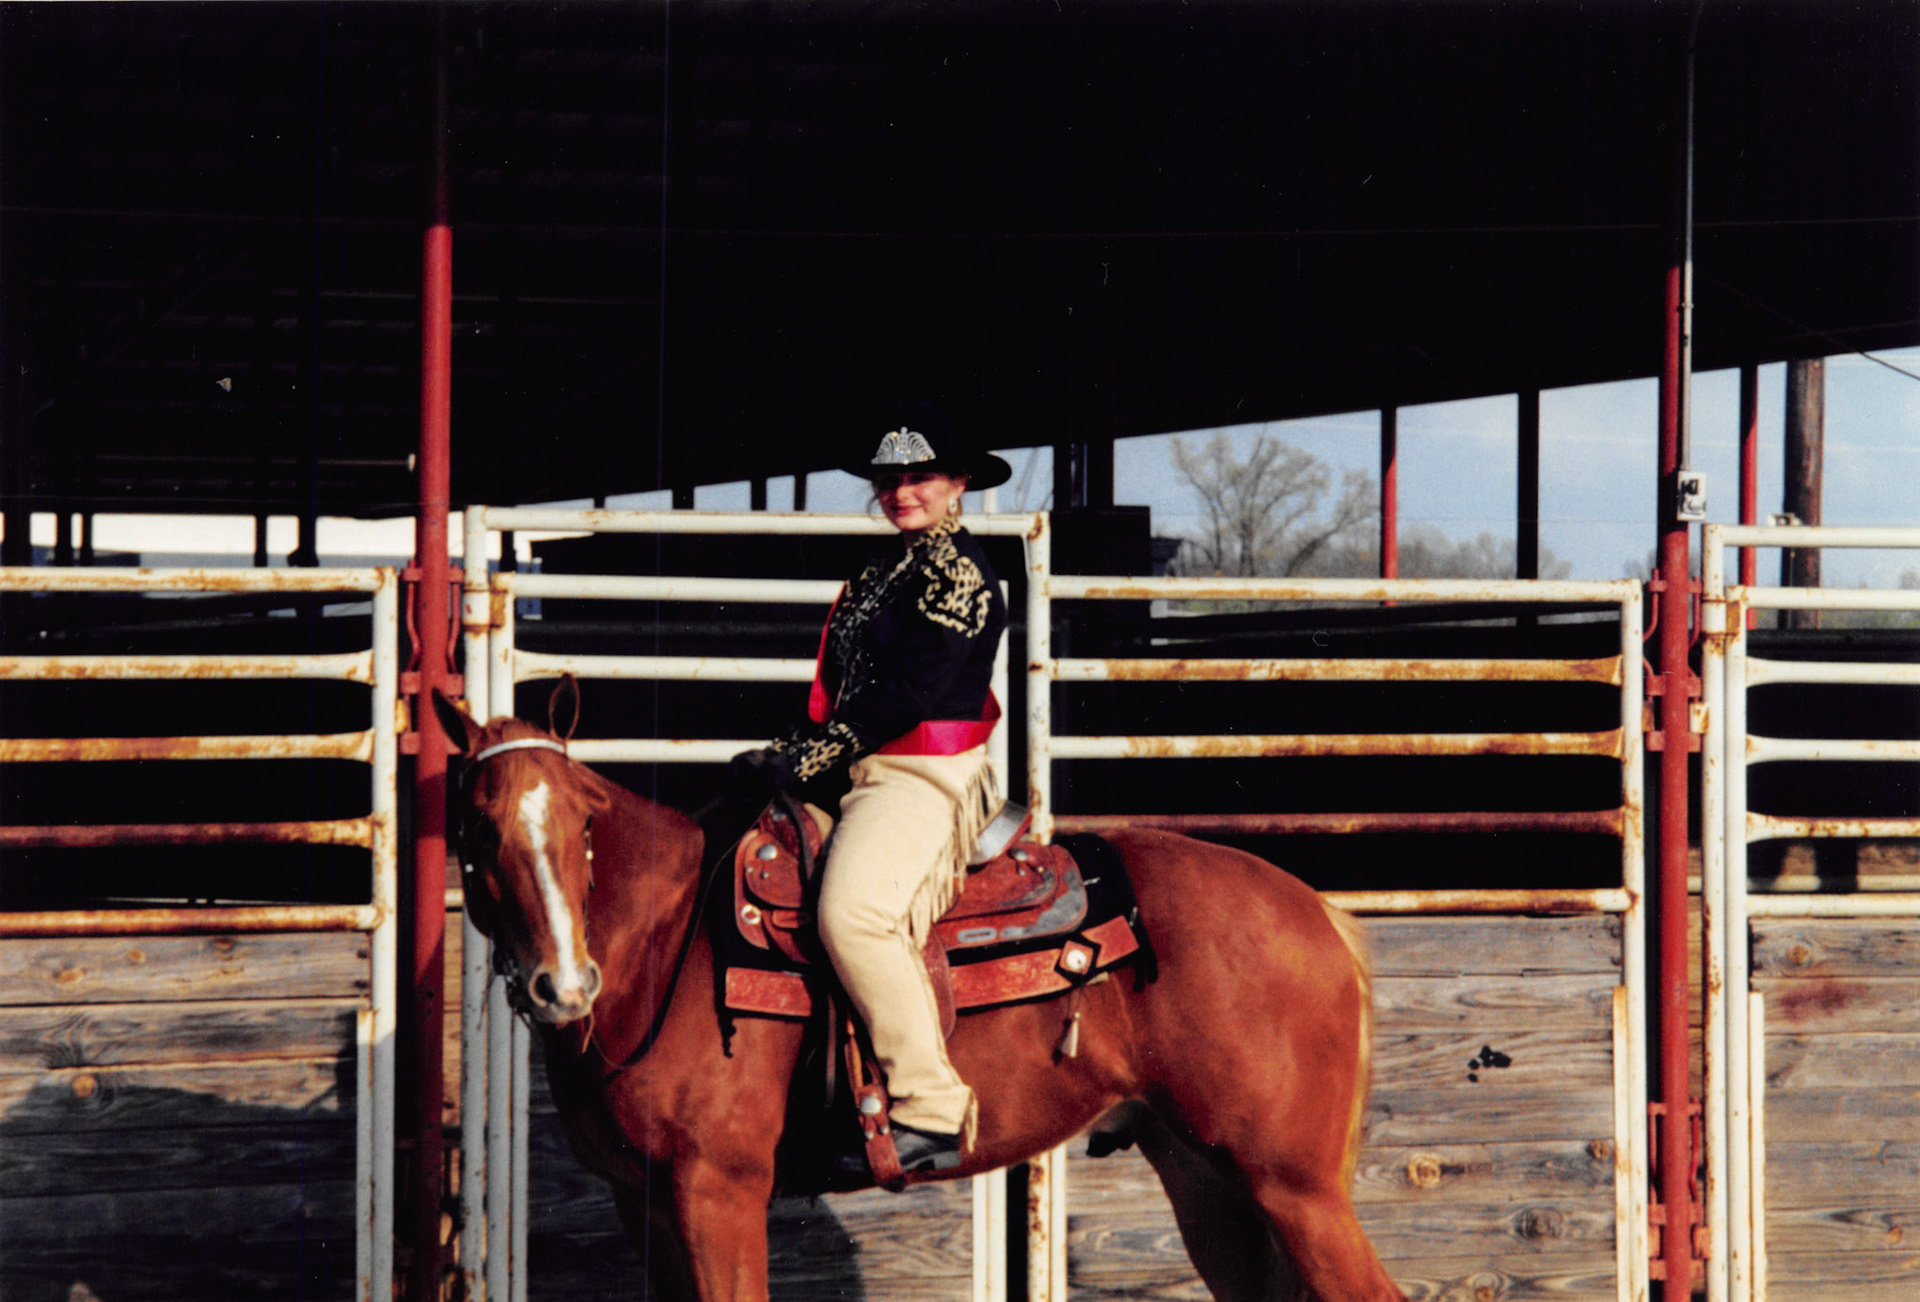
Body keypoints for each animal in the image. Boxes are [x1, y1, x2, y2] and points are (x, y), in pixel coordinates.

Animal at [434, 688, 1406, 1302]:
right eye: (475, 828)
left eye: (585, 820)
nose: (564, 984)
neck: (668, 942)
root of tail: (1320, 913)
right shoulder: (643, 1208)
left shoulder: (717, 1193)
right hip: (1211, 1181)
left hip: (1296, 1188)